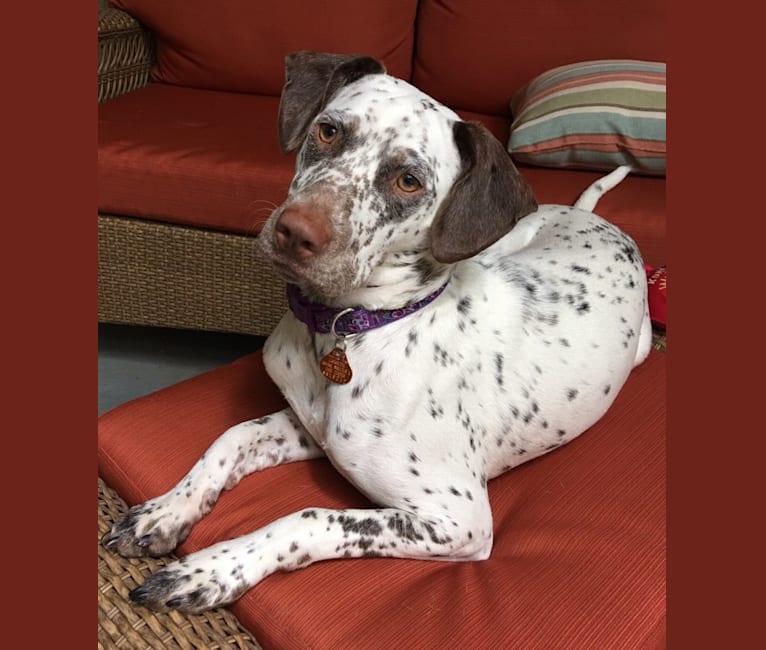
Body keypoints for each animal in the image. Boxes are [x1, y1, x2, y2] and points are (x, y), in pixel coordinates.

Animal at [103, 52, 656, 612]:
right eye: (328, 131)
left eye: (409, 181)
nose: (295, 231)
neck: (350, 330)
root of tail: (594, 220)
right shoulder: (311, 430)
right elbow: (231, 438)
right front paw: (166, 511)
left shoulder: (458, 521)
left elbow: (305, 516)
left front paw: (210, 568)